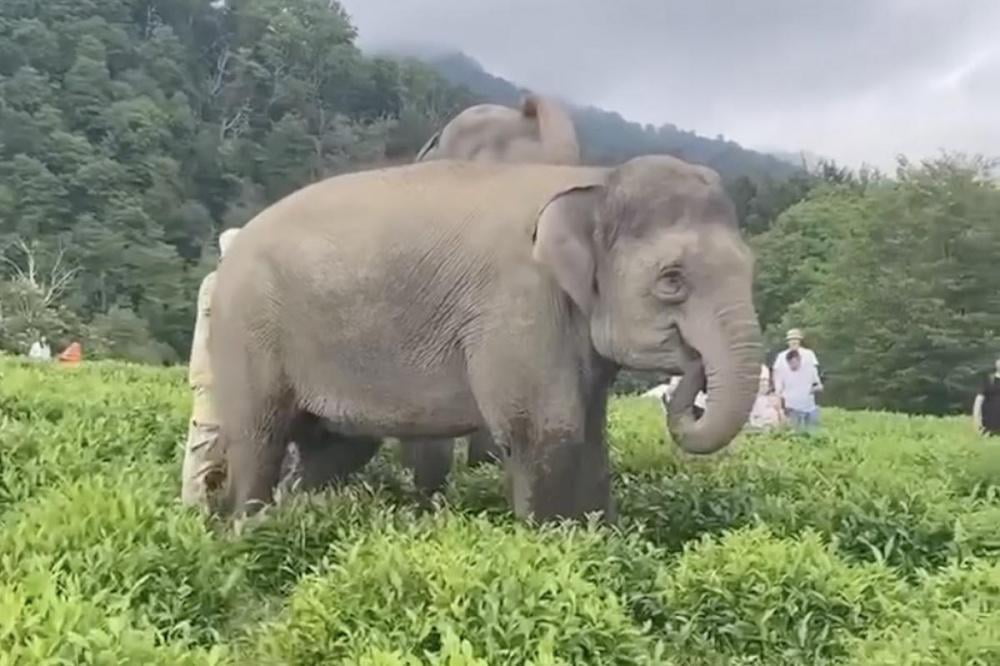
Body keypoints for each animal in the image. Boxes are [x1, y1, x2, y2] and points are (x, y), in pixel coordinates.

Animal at [209, 153, 756, 520]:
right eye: (672, 280)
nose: (691, 371)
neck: (597, 180)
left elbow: (590, 436)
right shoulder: (519, 302)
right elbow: (547, 430)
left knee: (334, 451)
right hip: (246, 328)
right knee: (259, 438)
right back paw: (248, 531)